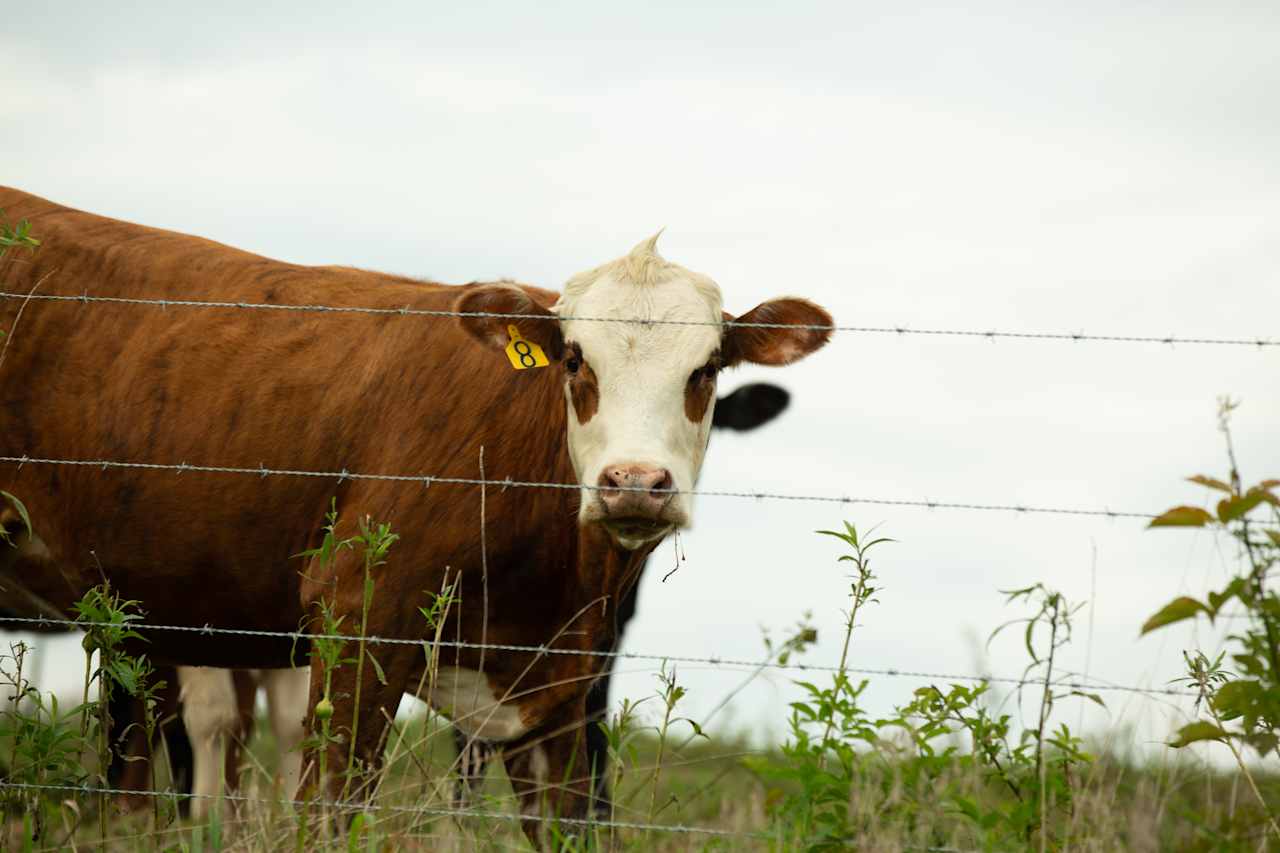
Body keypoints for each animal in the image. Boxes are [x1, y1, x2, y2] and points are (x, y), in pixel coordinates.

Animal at [0, 185, 829, 835]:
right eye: (573, 359)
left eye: (708, 368)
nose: (633, 482)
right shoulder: (357, 618)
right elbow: (328, 811)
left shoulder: (560, 689)